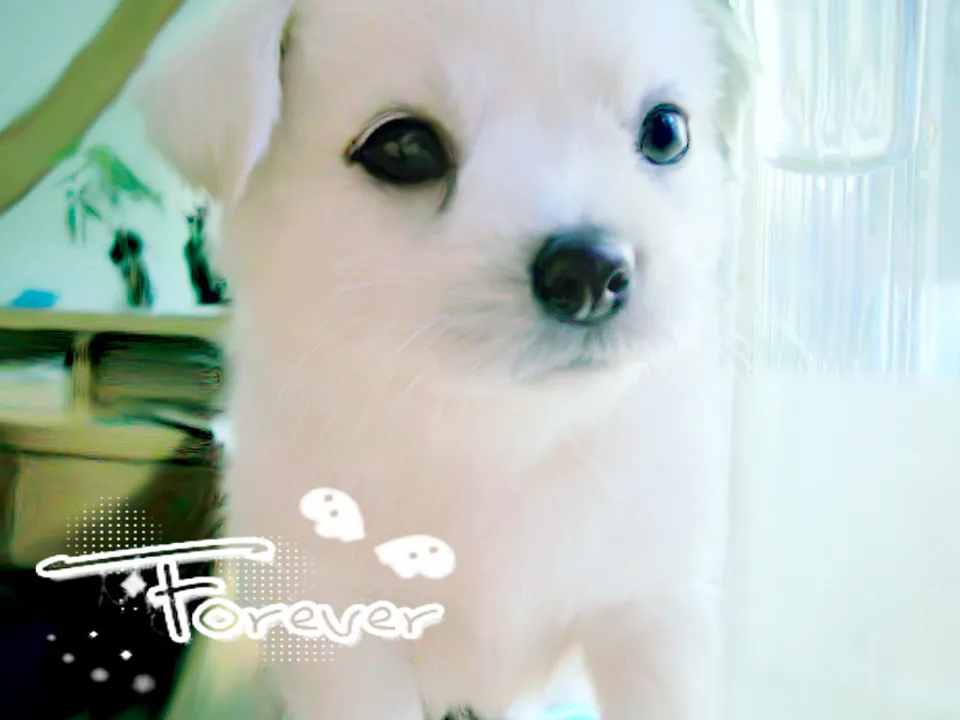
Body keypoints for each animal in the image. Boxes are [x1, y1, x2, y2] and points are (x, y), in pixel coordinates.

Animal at [137, 0, 754, 717]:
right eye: (402, 148)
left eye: (665, 131)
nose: (593, 271)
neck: (497, 432)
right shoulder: (337, 635)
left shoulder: (654, 609)